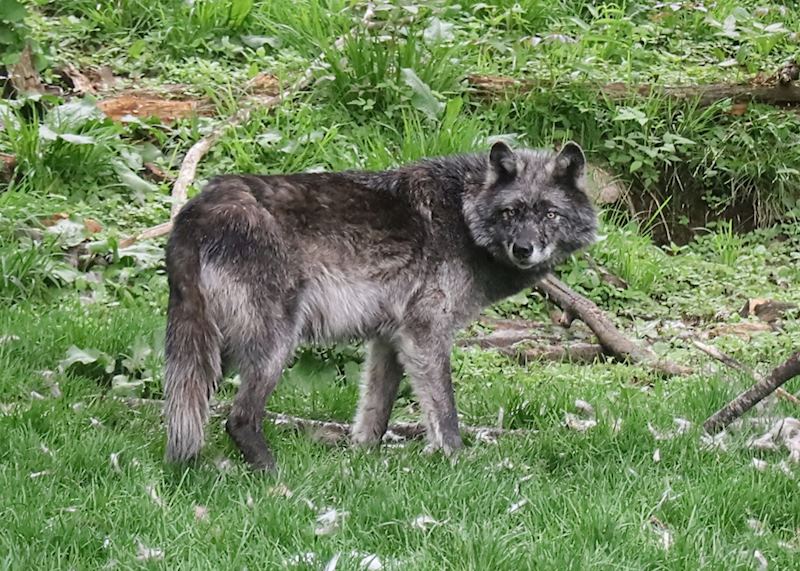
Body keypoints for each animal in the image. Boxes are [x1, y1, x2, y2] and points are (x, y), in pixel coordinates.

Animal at [163, 141, 597, 471]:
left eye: (550, 214)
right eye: (511, 212)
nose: (523, 248)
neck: (462, 215)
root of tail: (194, 211)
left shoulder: (388, 341)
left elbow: (375, 413)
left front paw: (360, 459)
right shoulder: (425, 333)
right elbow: (445, 412)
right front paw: (457, 460)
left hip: (214, 349)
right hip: (274, 345)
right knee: (239, 419)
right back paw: (276, 476)